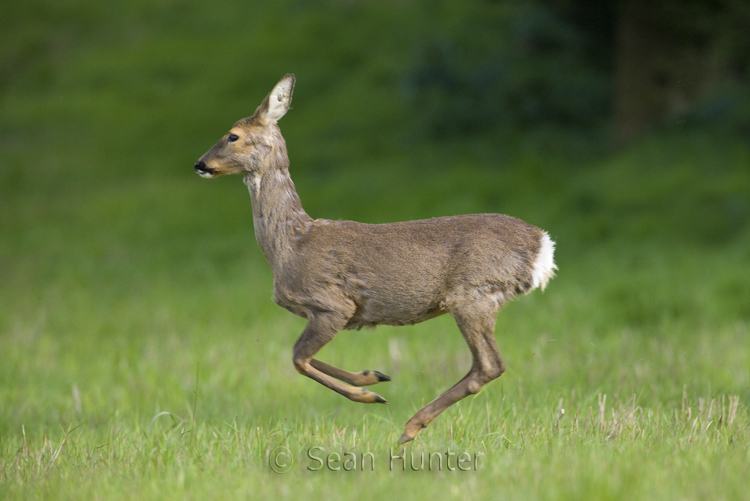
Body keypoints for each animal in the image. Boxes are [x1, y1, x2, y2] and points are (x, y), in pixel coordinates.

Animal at [194, 73, 560, 442]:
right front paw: (373, 377)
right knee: (488, 365)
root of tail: (543, 245)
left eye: (233, 135)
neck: (291, 243)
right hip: (482, 299)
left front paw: (369, 394)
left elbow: (298, 358)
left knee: (488, 365)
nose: (200, 164)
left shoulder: (333, 304)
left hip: (472, 293)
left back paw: (411, 427)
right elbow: (304, 358)